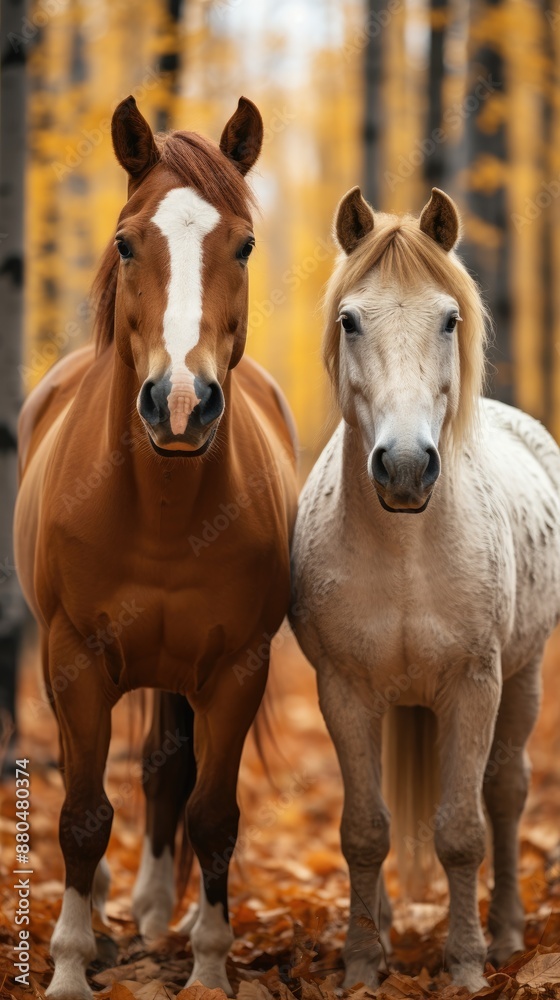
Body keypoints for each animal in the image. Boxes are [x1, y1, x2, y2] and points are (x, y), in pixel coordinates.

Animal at [15, 95, 298, 1000]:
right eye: (125, 242)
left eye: (243, 243)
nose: (180, 403)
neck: (162, 511)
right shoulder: (74, 658)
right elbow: (81, 815)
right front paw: (71, 965)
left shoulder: (238, 667)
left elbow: (212, 813)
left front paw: (207, 966)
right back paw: (108, 917)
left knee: (165, 772)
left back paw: (146, 911)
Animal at [290, 186, 560, 992]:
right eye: (351, 320)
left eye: (449, 320)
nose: (406, 467)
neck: (406, 551)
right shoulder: (344, 690)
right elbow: (364, 829)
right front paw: (359, 963)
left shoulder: (475, 684)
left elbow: (463, 830)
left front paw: (467, 967)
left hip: (523, 677)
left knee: (505, 790)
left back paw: (507, 935)